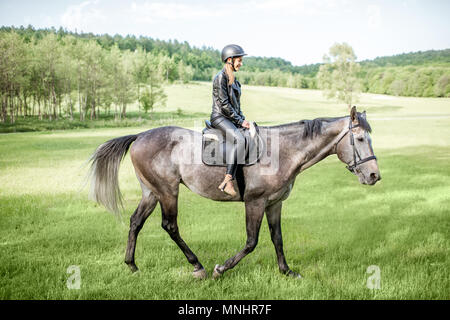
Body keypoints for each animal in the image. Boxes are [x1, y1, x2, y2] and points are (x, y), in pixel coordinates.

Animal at [87, 106, 380, 278]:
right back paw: (198, 266)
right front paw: (221, 268)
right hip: (167, 192)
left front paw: (286, 271)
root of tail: (140, 136)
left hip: (151, 192)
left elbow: (278, 239)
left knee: (136, 222)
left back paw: (132, 265)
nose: (374, 175)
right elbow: (251, 242)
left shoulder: (274, 204)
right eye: (360, 139)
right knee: (169, 225)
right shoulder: (255, 202)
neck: (280, 152)